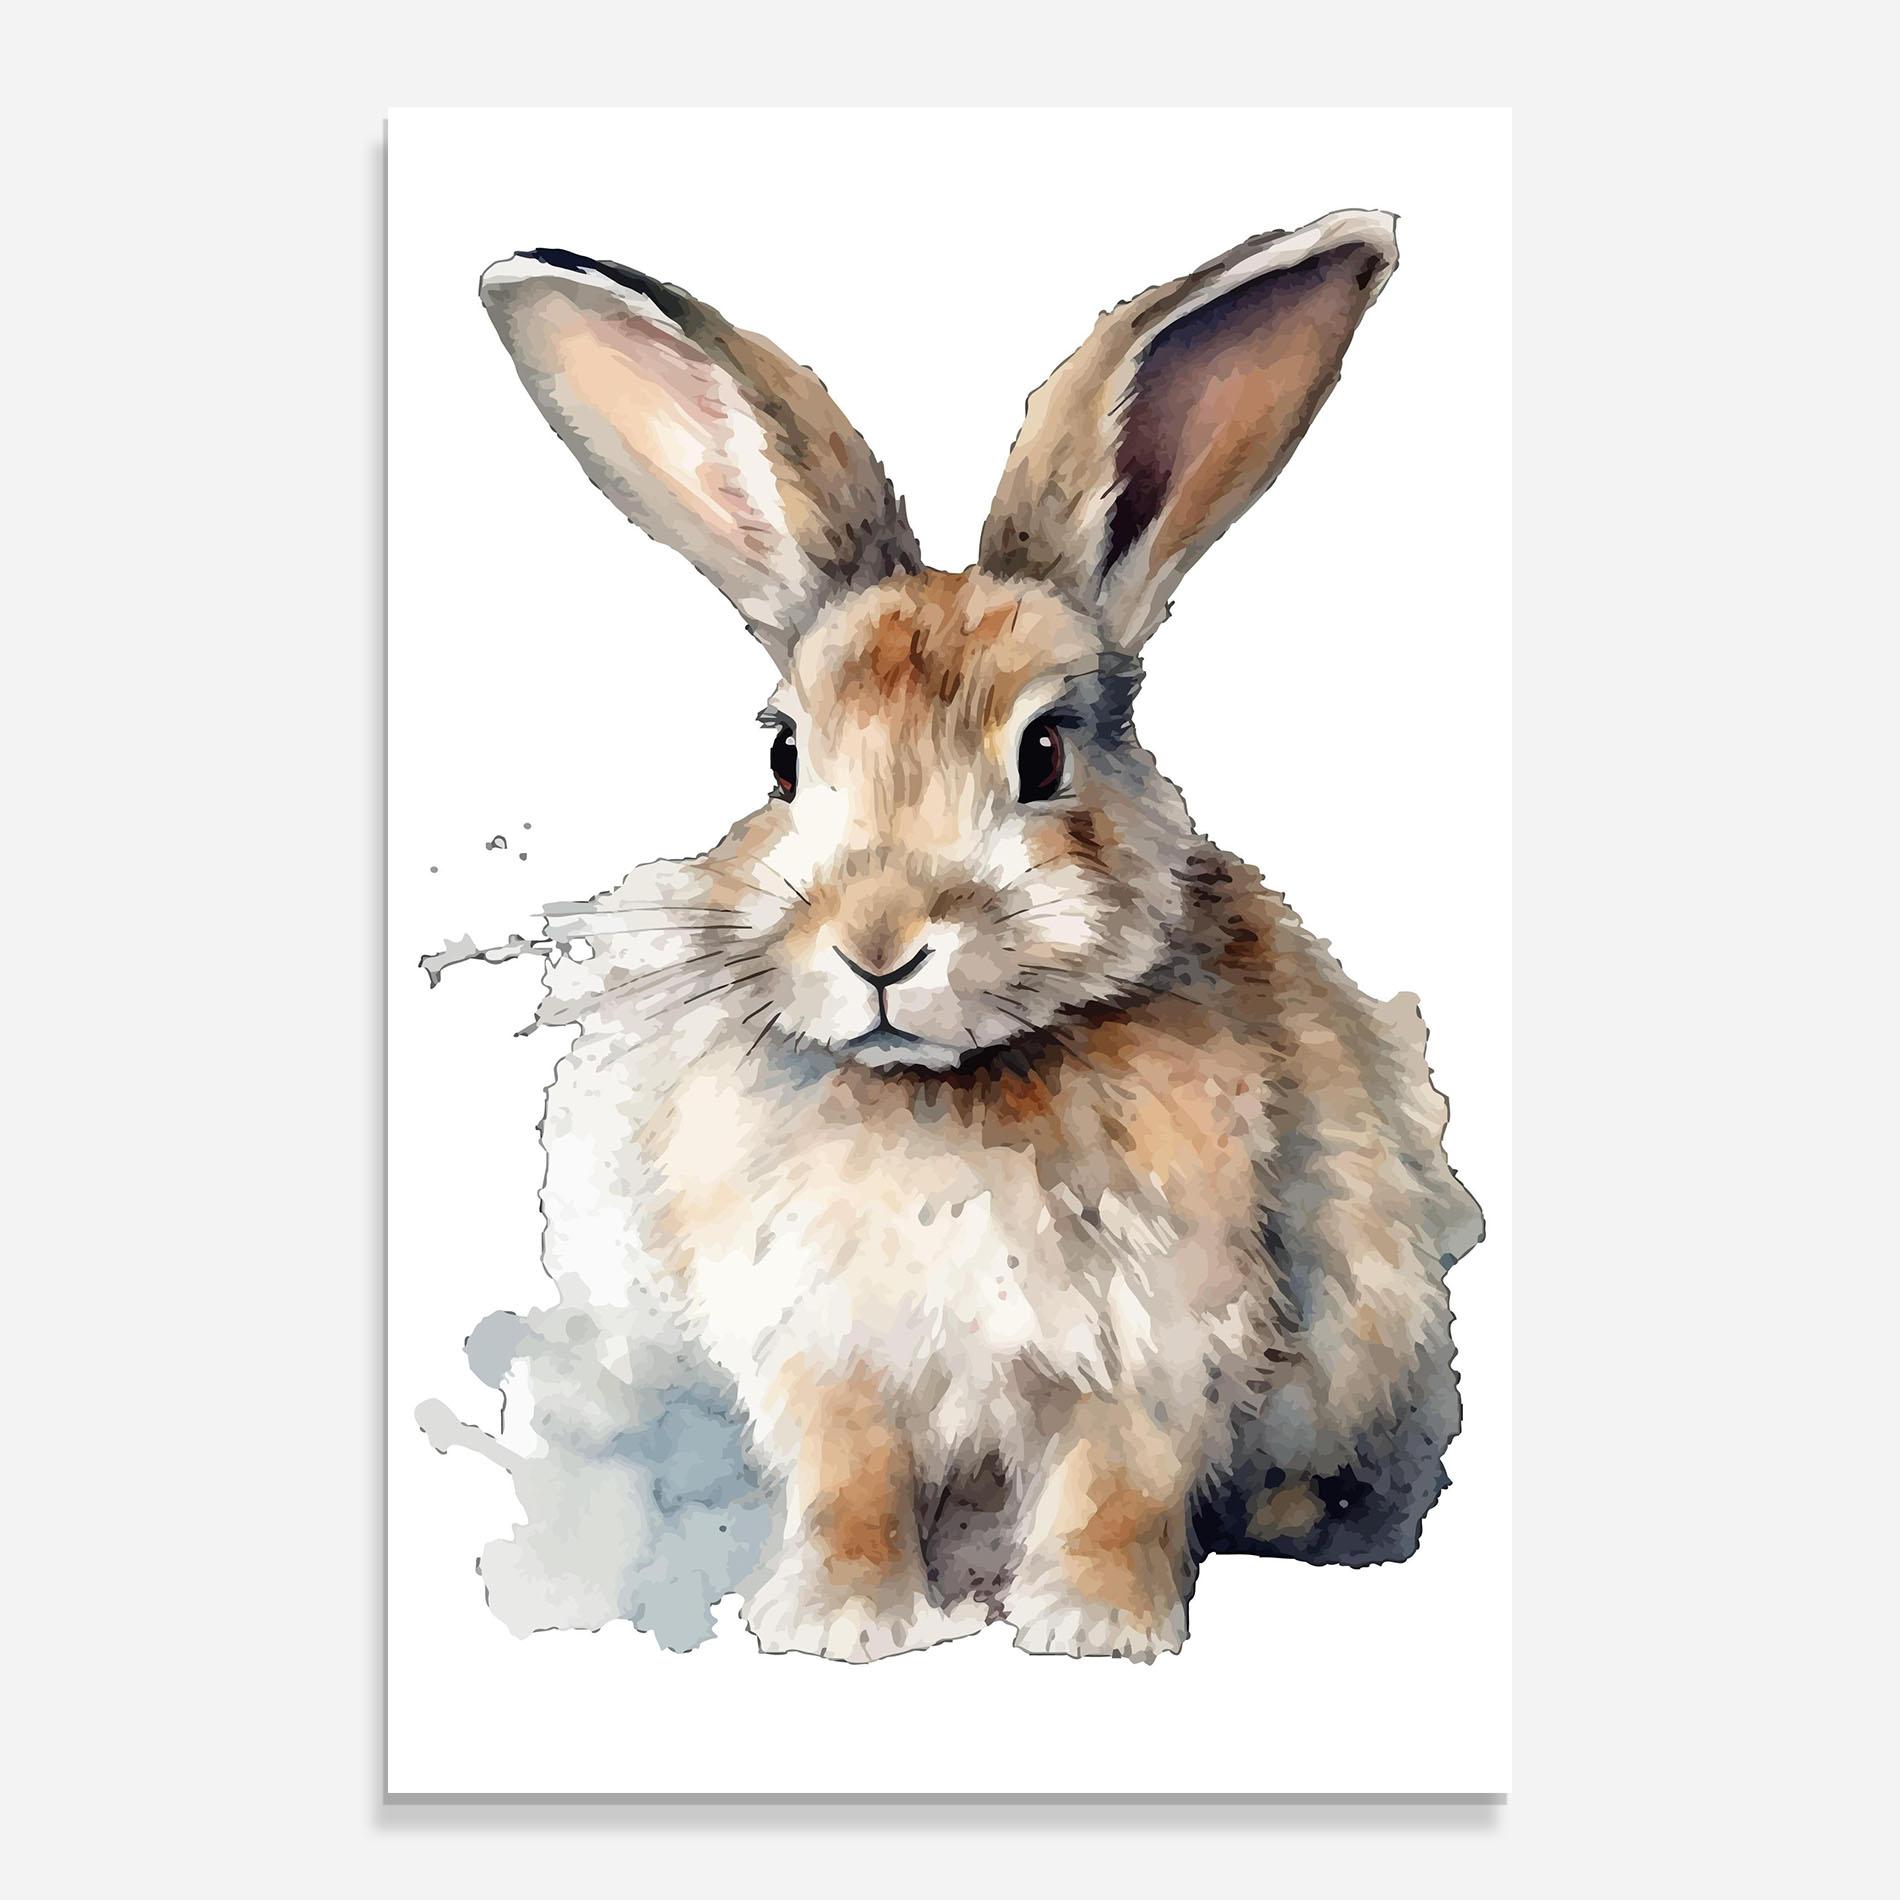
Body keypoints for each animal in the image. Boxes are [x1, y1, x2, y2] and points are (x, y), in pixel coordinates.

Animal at [478, 208, 1483, 1664]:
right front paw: (836, 1624)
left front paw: (1097, 1632)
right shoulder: (832, 1355)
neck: (943, 1089)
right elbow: (851, 1483)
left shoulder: (1156, 1347)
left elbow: (1115, 1487)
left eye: (1046, 752)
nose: (880, 944)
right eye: (784, 756)